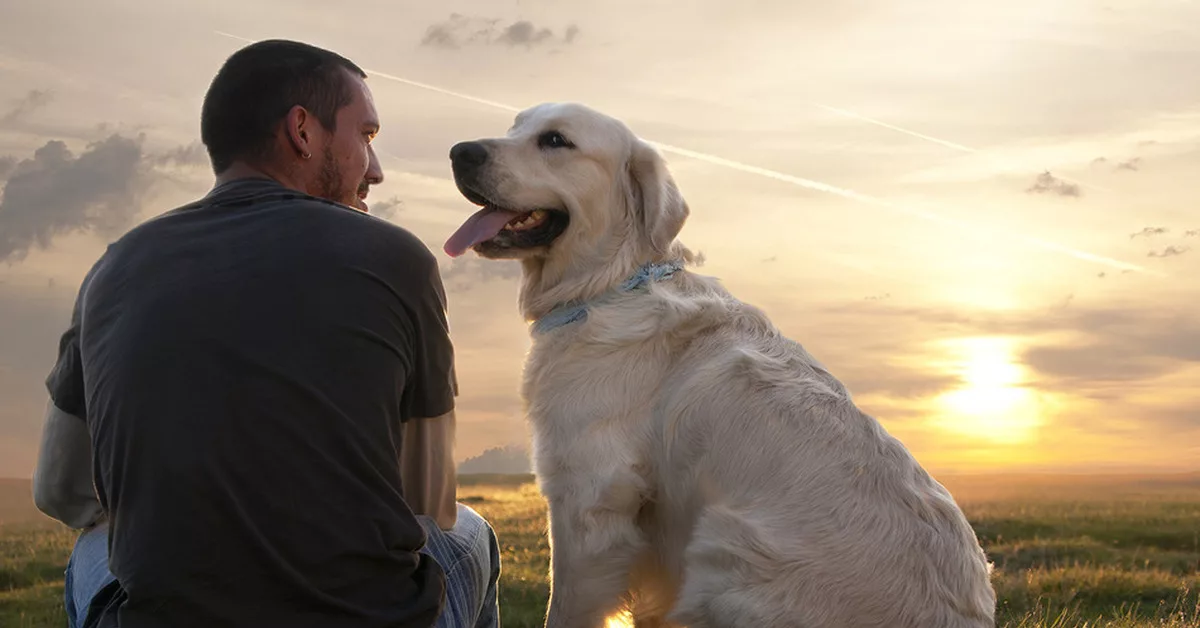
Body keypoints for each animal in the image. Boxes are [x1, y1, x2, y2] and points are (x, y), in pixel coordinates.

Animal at [441, 104, 993, 628]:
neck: (611, 284)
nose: (460, 152)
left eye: (555, 140)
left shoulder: (589, 497)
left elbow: (566, 606)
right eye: (515, 127)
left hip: (724, 543)